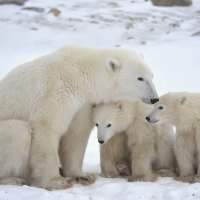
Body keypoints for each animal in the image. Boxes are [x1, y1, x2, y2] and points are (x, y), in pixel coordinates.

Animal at [0, 45, 159, 189]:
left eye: (152, 76)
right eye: (140, 78)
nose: (155, 99)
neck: (82, 74)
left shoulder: (83, 103)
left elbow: (76, 134)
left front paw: (81, 176)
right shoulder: (57, 89)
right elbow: (47, 126)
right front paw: (56, 181)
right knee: (19, 132)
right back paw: (13, 179)